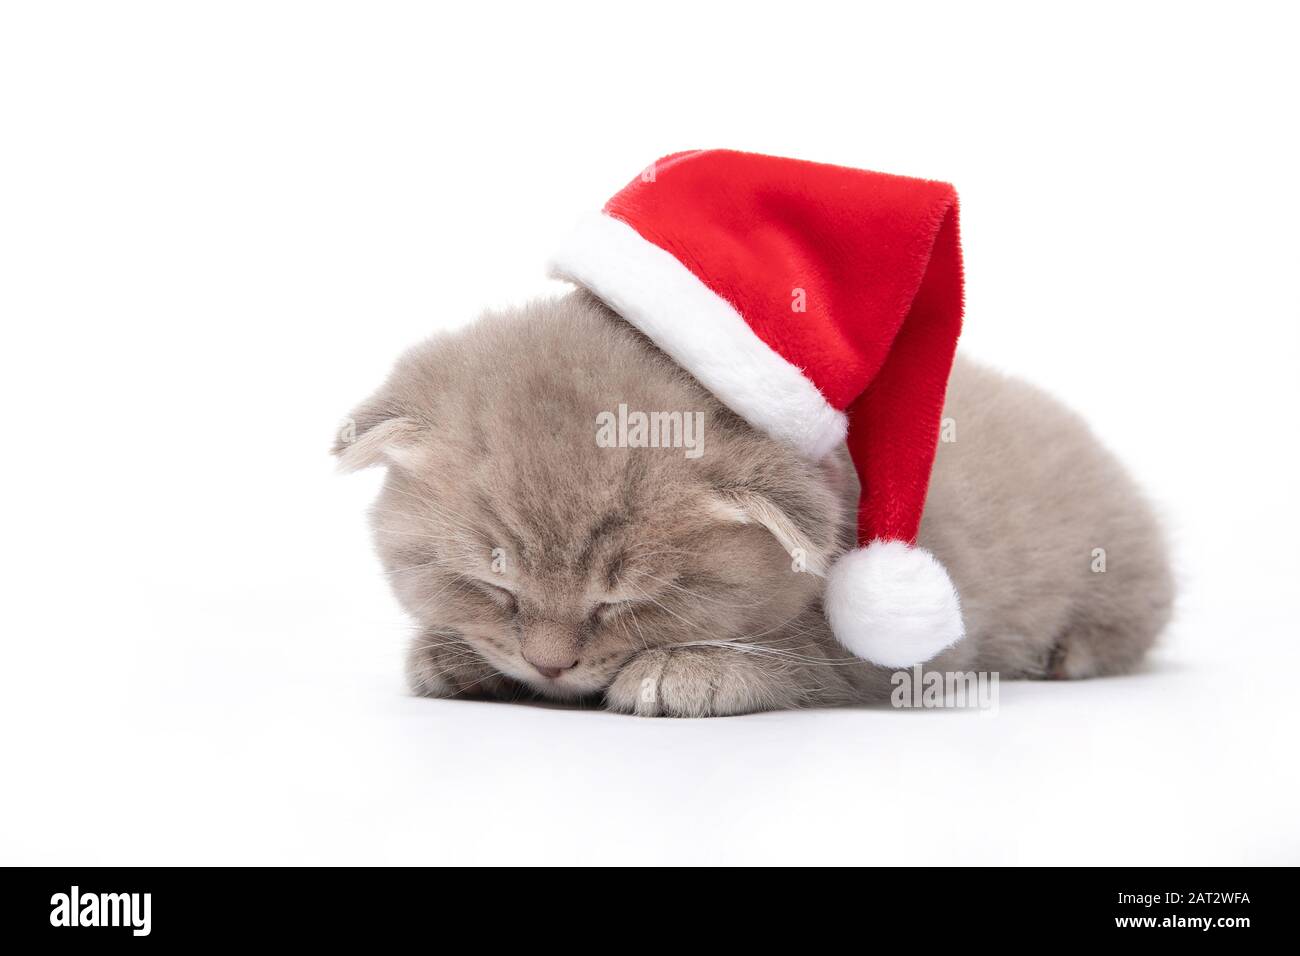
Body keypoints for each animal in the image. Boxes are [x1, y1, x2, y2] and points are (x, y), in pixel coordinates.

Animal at [335, 291, 1180, 717]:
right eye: (494, 586)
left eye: (625, 602)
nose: (550, 666)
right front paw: (450, 651)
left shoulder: (912, 639)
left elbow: (809, 647)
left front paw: (695, 666)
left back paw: (1069, 654)